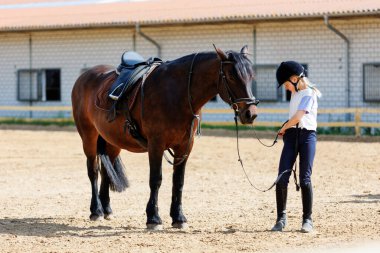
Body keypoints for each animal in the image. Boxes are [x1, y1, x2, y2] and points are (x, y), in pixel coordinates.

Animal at [72, 45, 258, 229]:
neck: (177, 93)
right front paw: (153, 218)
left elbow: (178, 181)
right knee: (93, 171)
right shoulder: (156, 144)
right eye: (231, 76)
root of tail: (84, 76)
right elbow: (156, 179)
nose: (251, 114)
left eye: (251, 76)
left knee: (106, 171)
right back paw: (96, 210)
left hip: (113, 141)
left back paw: (107, 209)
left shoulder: (185, 146)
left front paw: (178, 217)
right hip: (89, 137)